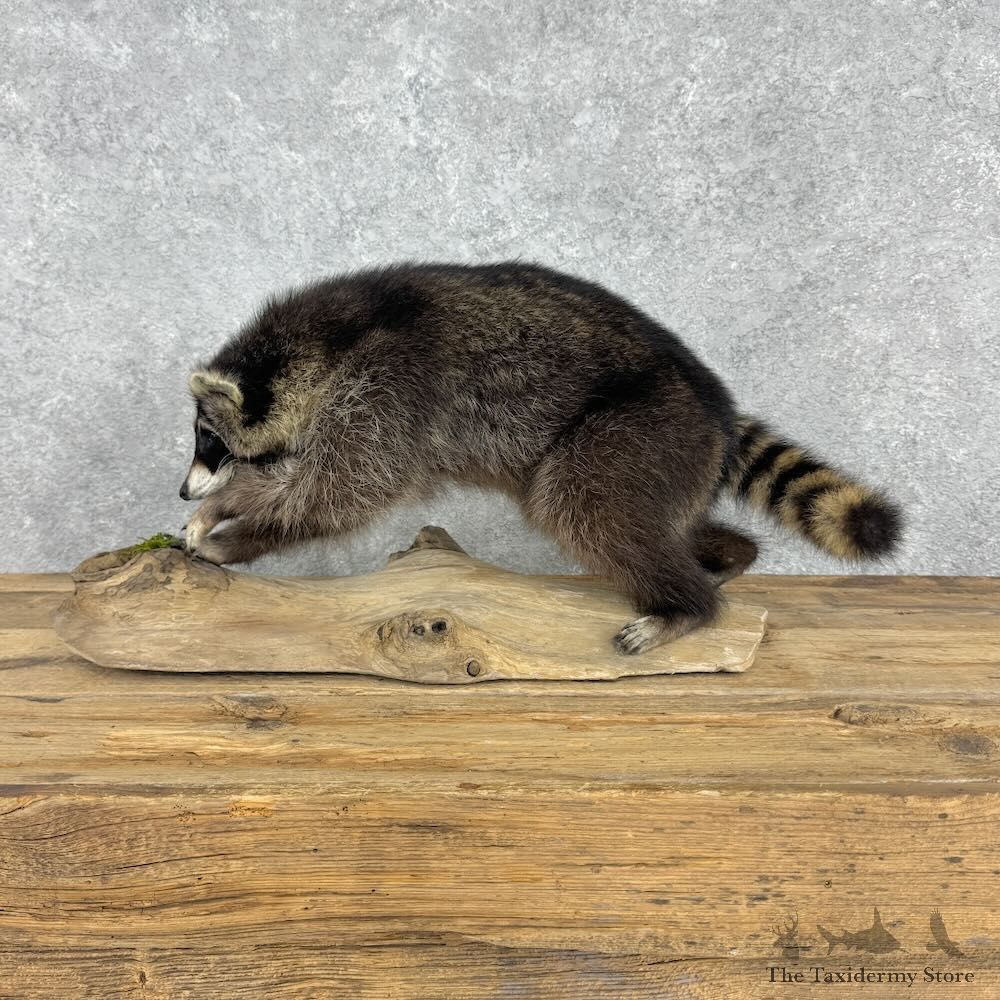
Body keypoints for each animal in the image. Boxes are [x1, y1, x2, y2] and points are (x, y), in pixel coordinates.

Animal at [181, 262, 901, 654]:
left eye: (207, 439)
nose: (187, 490)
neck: (335, 333)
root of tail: (713, 408)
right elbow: (320, 488)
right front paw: (231, 513)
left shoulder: (390, 389)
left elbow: (339, 493)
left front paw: (233, 519)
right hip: (669, 452)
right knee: (650, 515)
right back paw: (723, 553)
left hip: (641, 426)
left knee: (583, 504)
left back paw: (685, 604)